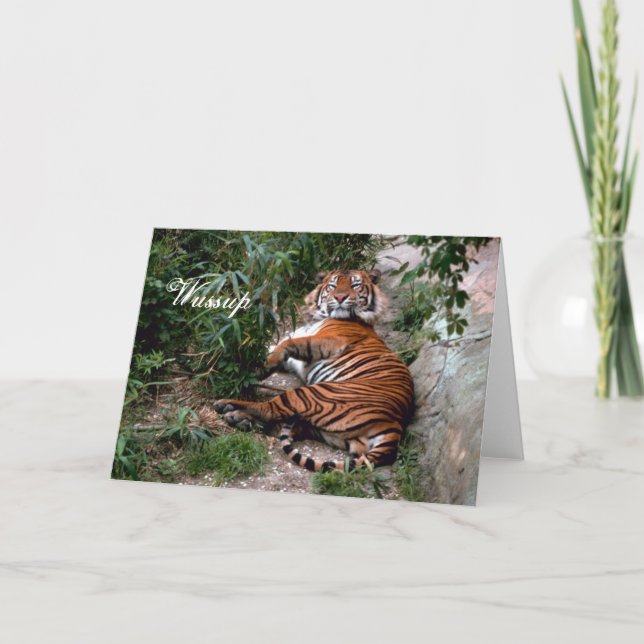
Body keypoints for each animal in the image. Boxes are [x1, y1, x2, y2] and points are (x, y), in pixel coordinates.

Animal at [214, 268, 414, 472]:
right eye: (333, 285)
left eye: (355, 285)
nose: (340, 297)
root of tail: (394, 426)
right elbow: (272, 347)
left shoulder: (331, 341)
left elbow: (288, 344)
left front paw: (255, 369)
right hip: (331, 432)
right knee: (288, 424)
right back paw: (239, 418)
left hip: (313, 393)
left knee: (270, 409)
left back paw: (227, 406)